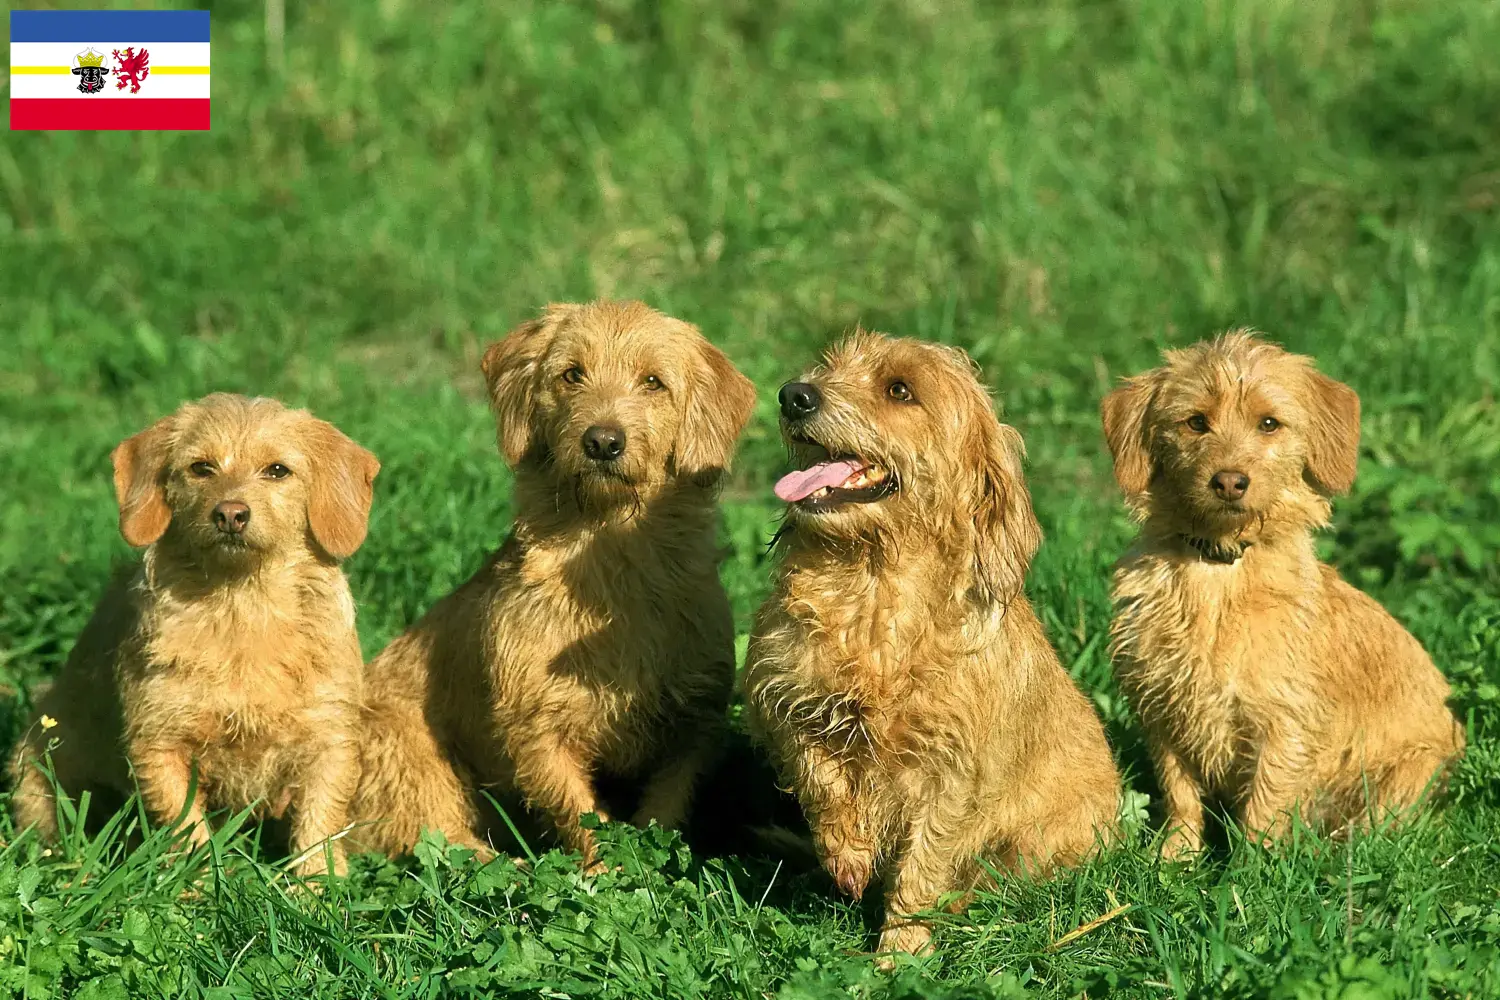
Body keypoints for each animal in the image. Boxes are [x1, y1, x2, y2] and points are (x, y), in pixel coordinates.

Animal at [10, 395, 381, 881]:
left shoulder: (330, 739)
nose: (230, 513)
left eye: (277, 470)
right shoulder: (160, 744)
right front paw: (199, 887)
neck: (242, 608)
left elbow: (319, 825)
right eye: (201, 467)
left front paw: (317, 889)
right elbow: (186, 829)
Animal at [345, 299, 756, 869]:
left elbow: (665, 810)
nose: (602, 441)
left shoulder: (695, 721)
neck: (609, 566)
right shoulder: (536, 729)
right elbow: (579, 813)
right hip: (408, 755)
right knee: (441, 842)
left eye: (653, 381)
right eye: (571, 374)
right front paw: (607, 871)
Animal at [744, 329, 1122, 959]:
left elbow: (924, 866)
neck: (873, 585)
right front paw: (847, 852)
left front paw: (900, 953)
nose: (794, 395)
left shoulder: (952, 775)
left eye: (900, 389)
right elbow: (816, 770)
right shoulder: (778, 696)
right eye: (829, 366)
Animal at [1104, 332, 1464, 857]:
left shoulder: (1284, 724)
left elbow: (1264, 807)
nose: (1229, 481)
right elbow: (1181, 797)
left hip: (1406, 776)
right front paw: (1173, 860)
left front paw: (1250, 872)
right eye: (1196, 422)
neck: (1220, 571)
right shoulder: (1163, 711)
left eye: (1269, 423)